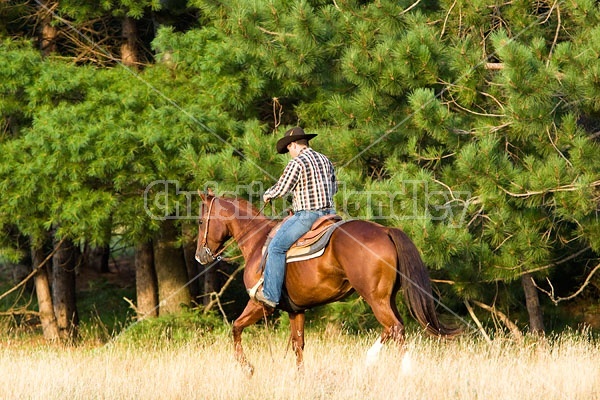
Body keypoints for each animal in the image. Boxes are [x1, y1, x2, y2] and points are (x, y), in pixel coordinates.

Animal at [195, 192, 458, 374]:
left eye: (199, 221)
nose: (200, 256)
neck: (257, 240)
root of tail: (385, 230)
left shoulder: (260, 304)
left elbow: (236, 328)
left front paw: (248, 368)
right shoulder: (296, 310)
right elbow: (298, 345)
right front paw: (301, 378)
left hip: (374, 298)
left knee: (395, 328)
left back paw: (404, 371)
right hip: (386, 297)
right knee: (392, 327)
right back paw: (369, 360)